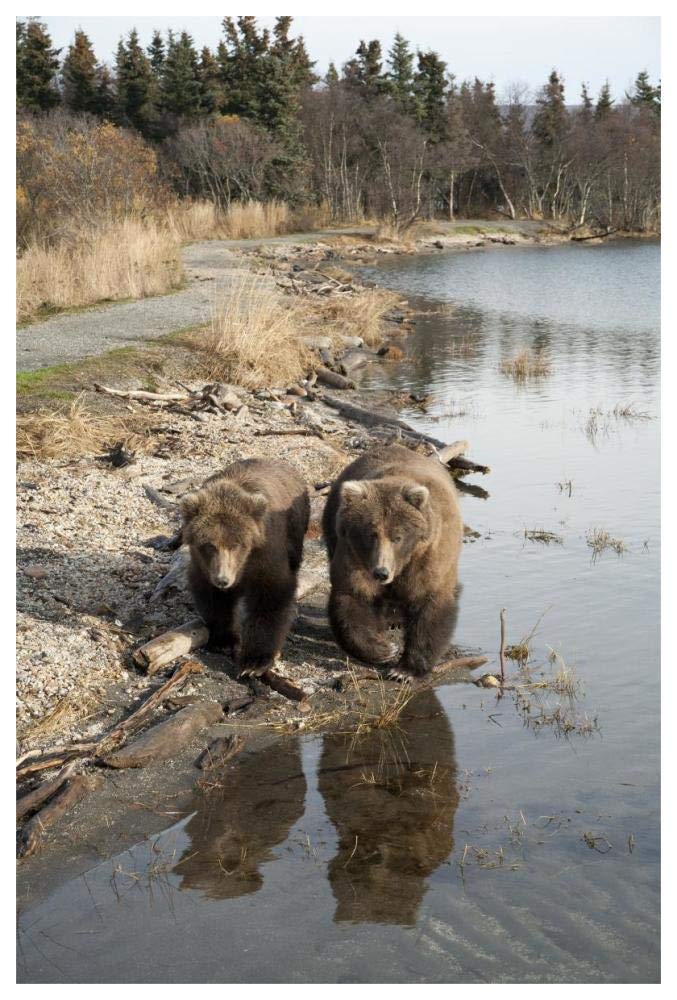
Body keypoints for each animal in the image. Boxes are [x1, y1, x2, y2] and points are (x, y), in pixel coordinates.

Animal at [181, 458, 310, 677]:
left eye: (236, 544)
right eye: (209, 545)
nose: (223, 580)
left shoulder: (266, 552)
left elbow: (269, 597)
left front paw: (254, 662)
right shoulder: (203, 565)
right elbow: (213, 598)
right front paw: (224, 639)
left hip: (296, 527)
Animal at [322, 443, 462, 680]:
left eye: (398, 537)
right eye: (371, 534)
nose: (381, 572)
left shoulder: (428, 557)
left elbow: (430, 603)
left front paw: (404, 670)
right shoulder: (355, 555)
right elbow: (353, 596)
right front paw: (384, 650)